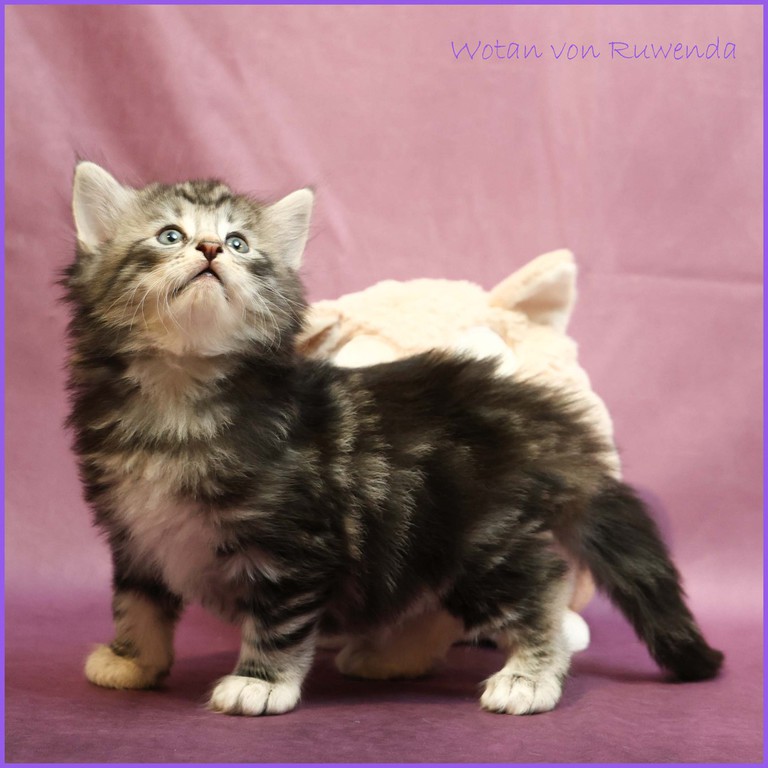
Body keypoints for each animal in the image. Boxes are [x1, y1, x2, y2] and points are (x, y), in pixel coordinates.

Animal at [63, 162, 723, 716]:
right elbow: (138, 601)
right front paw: (132, 660)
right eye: (170, 236)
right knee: (434, 608)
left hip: (479, 538)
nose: (208, 249)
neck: (177, 398)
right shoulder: (134, 529)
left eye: (240, 244)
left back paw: (529, 677)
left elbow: (276, 620)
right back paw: (390, 658)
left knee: (542, 591)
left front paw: (260, 682)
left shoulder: (292, 544)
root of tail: (530, 408)